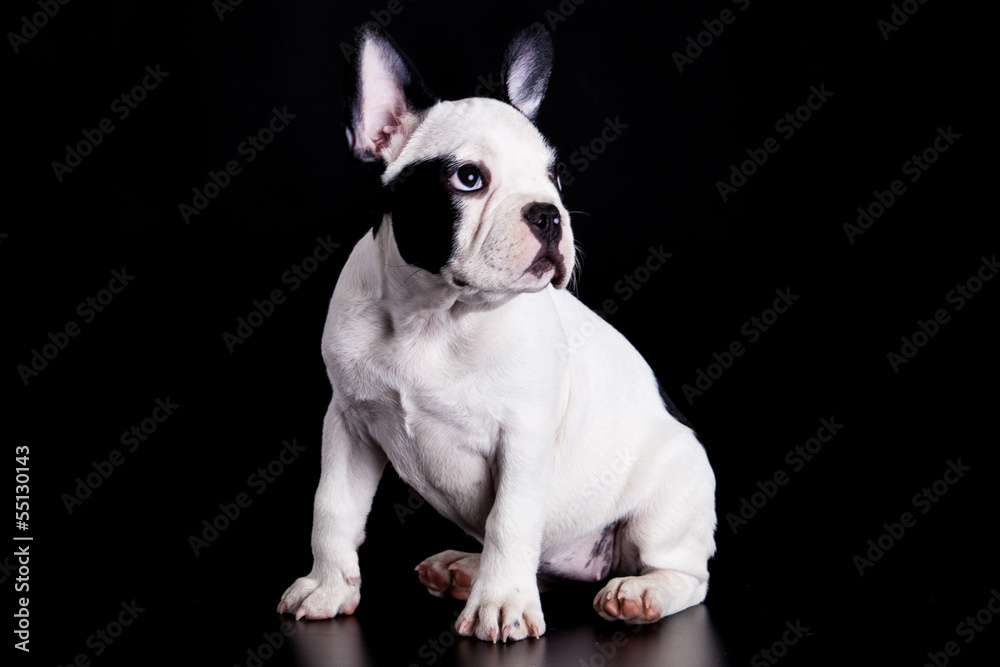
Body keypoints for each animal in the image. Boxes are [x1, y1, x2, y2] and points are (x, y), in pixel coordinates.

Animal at [278, 23, 716, 644]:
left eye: (554, 177)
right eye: (469, 178)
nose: (549, 212)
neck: (434, 316)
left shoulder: (524, 439)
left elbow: (511, 519)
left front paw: (502, 606)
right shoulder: (348, 422)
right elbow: (332, 508)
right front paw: (328, 587)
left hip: (665, 506)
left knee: (685, 574)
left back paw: (639, 592)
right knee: (541, 564)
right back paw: (466, 569)